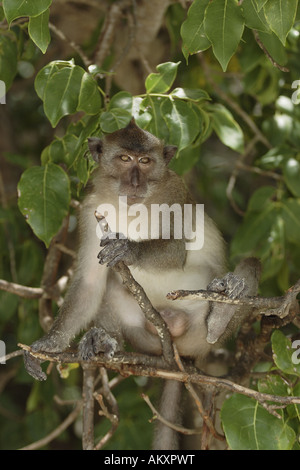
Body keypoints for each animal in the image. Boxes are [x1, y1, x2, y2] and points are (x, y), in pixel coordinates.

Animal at [24, 119, 260, 450]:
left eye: (146, 161)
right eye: (125, 159)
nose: (135, 182)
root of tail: (179, 350)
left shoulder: (175, 190)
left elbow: (174, 250)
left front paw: (128, 249)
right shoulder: (89, 210)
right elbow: (90, 282)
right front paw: (47, 345)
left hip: (201, 335)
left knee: (249, 266)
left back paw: (223, 309)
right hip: (144, 337)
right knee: (111, 284)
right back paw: (104, 341)